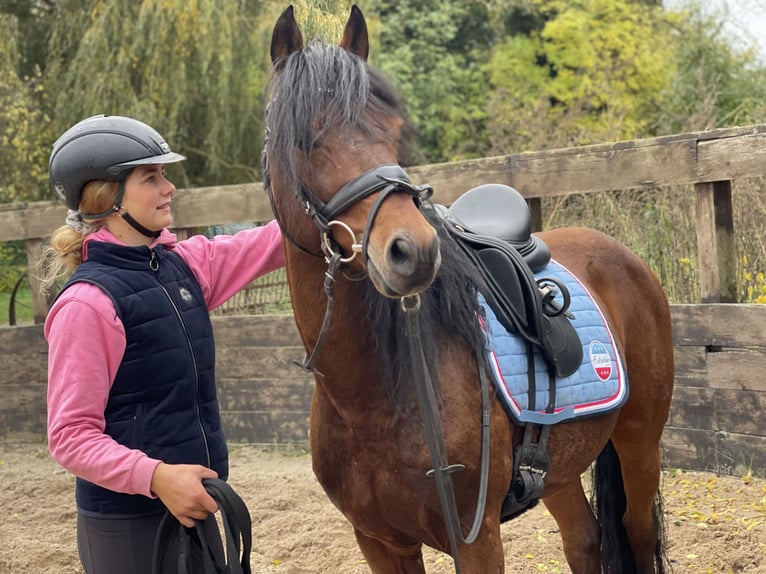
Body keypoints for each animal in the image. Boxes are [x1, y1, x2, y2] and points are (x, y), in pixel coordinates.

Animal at [268, 5, 676, 574]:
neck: (370, 400)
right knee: (585, 540)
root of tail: (622, 255)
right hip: (560, 470)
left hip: (640, 442)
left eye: (394, 133)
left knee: (636, 533)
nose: (412, 250)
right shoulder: (379, 542)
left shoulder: (476, 538)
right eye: (304, 137)